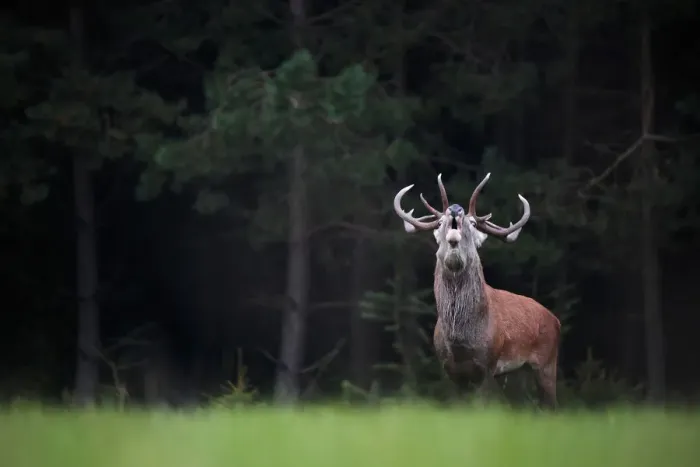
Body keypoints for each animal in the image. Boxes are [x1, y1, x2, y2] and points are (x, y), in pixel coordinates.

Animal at [393, 172, 560, 409]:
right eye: (441, 222)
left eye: (472, 223)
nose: (455, 208)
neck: (460, 340)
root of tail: (556, 320)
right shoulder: (449, 369)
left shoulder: (487, 365)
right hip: (518, 374)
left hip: (547, 362)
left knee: (551, 405)